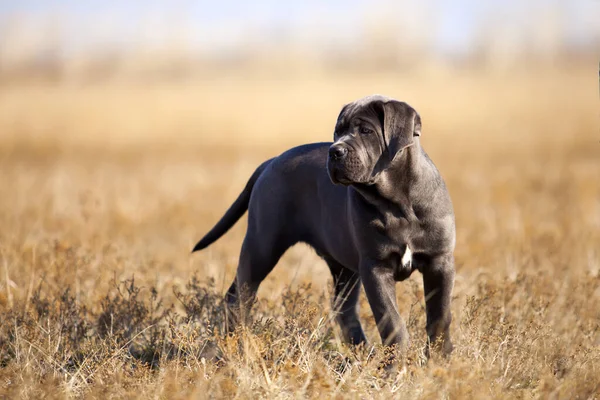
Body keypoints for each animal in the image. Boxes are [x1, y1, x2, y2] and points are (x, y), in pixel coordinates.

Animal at [192, 95, 454, 354]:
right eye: (337, 132)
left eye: (366, 131)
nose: (335, 151)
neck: (398, 203)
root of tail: (271, 161)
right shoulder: (375, 267)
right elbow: (391, 319)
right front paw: (397, 360)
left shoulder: (439, 262)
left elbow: (439, 316)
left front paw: (439, 357)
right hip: (262, 245)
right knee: (239, 295)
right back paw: (234, 343)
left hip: (344, 270)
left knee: (343, 309)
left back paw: (360, 351)